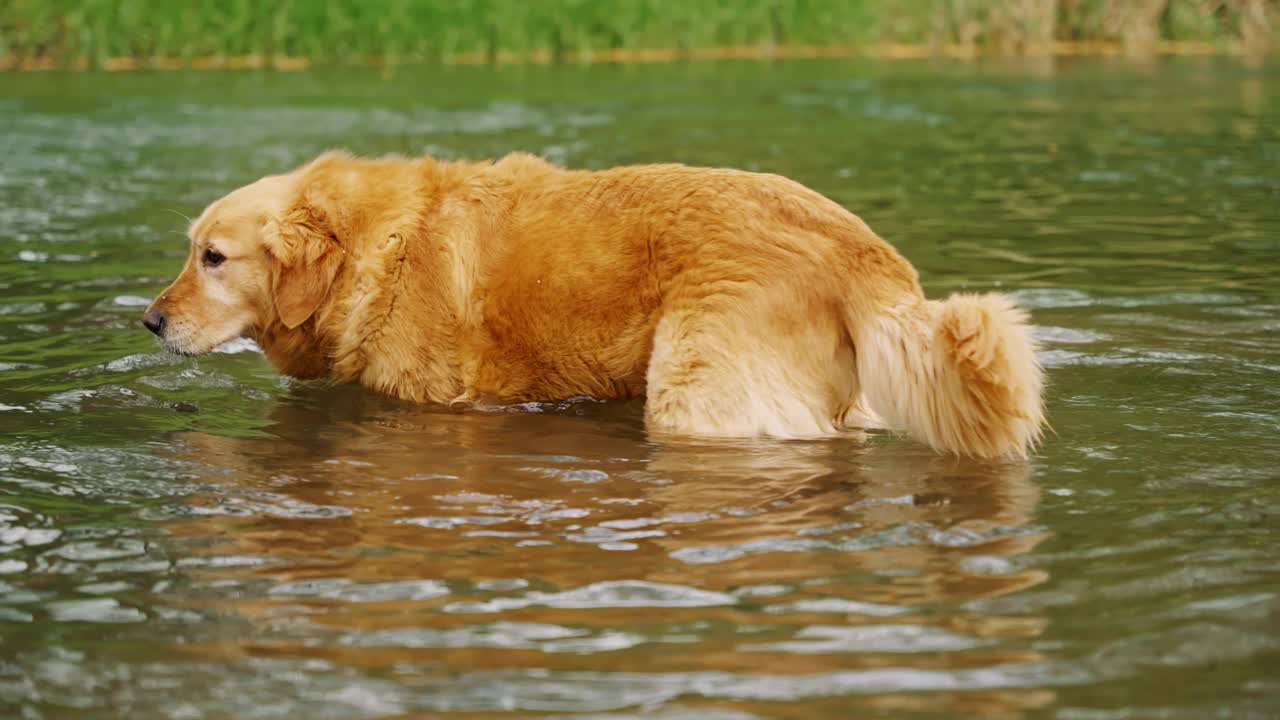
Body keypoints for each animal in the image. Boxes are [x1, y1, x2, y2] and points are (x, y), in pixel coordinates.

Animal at [142, 150, 1039, 453]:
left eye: (213, 258)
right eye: (189, 250)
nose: (149, 319)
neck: (375, 244)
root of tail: (858, 244)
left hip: (697, 397)